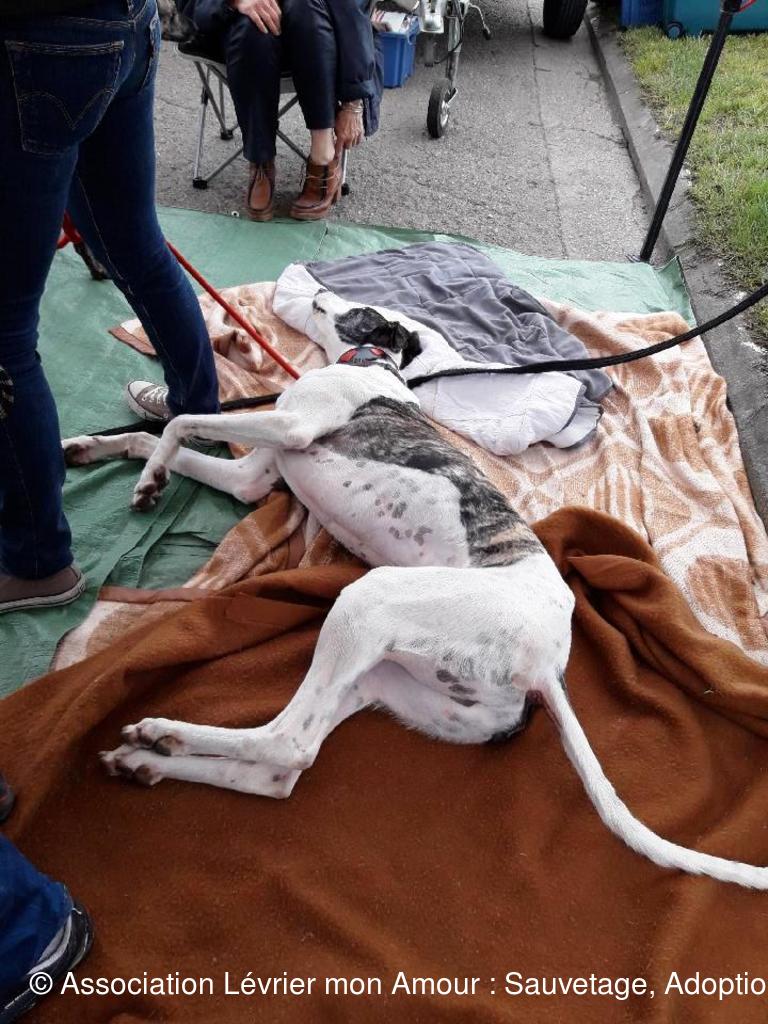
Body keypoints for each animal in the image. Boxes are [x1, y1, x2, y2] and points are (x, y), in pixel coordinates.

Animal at [63, 292, 768, 889]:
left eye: (362, 311)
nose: (318, 293)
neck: (375, 370)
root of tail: (548, 666)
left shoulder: (290, 431)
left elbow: (180, 421)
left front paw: (150, 479)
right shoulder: (252, 478)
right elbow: (156, 436)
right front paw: (90, 449)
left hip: (367, 603)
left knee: (287, 743)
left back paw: (162, 735)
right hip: (387, 679)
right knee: (283, 770)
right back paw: (149, 761)